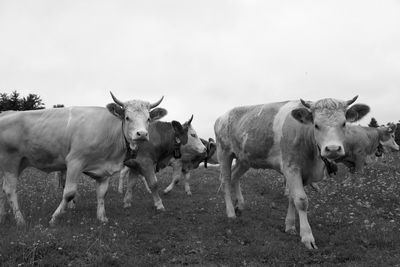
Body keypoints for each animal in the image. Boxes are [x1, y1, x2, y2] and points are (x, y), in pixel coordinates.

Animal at [0, 92, 167, 226]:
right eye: (127, 117)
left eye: (148, 118)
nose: (142, 134)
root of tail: (5, 113)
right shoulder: (75, 161)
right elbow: (69, 193)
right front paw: (54, 218)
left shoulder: (104, 169)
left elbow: (102, 193)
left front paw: (102, 218)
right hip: (11, 161)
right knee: (9, 189)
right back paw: (20, 220)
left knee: (2, 189)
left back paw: (2, 217)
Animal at [214, 96, 370, 249]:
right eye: (316, 125)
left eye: (343, 124)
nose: (332, 149)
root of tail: (222, 116)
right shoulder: (291, 167)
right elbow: (301, 200)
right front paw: (307, 237)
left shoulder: (302, 172)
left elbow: (292, 198)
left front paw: (289, 226)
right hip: (224, 153)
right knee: (225, 180)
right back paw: (230, 213)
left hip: (244, 158)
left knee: (235, 177)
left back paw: (239, 205)